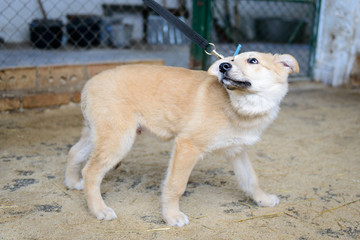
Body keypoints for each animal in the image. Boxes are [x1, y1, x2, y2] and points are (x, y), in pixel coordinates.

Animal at [64, 51, 298, 226]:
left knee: (74, 152)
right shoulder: (187, 146)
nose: (223, 67)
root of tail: (90, 82)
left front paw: (263, 200)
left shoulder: (237, 151)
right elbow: (176, 186)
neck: (237, 105)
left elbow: (251, 179)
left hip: (98, 136)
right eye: (230, 60)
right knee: (91, 172)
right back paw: (99, 210)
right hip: (118, 140)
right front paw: (171, 217)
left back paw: (72, 182)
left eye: (253, 60)